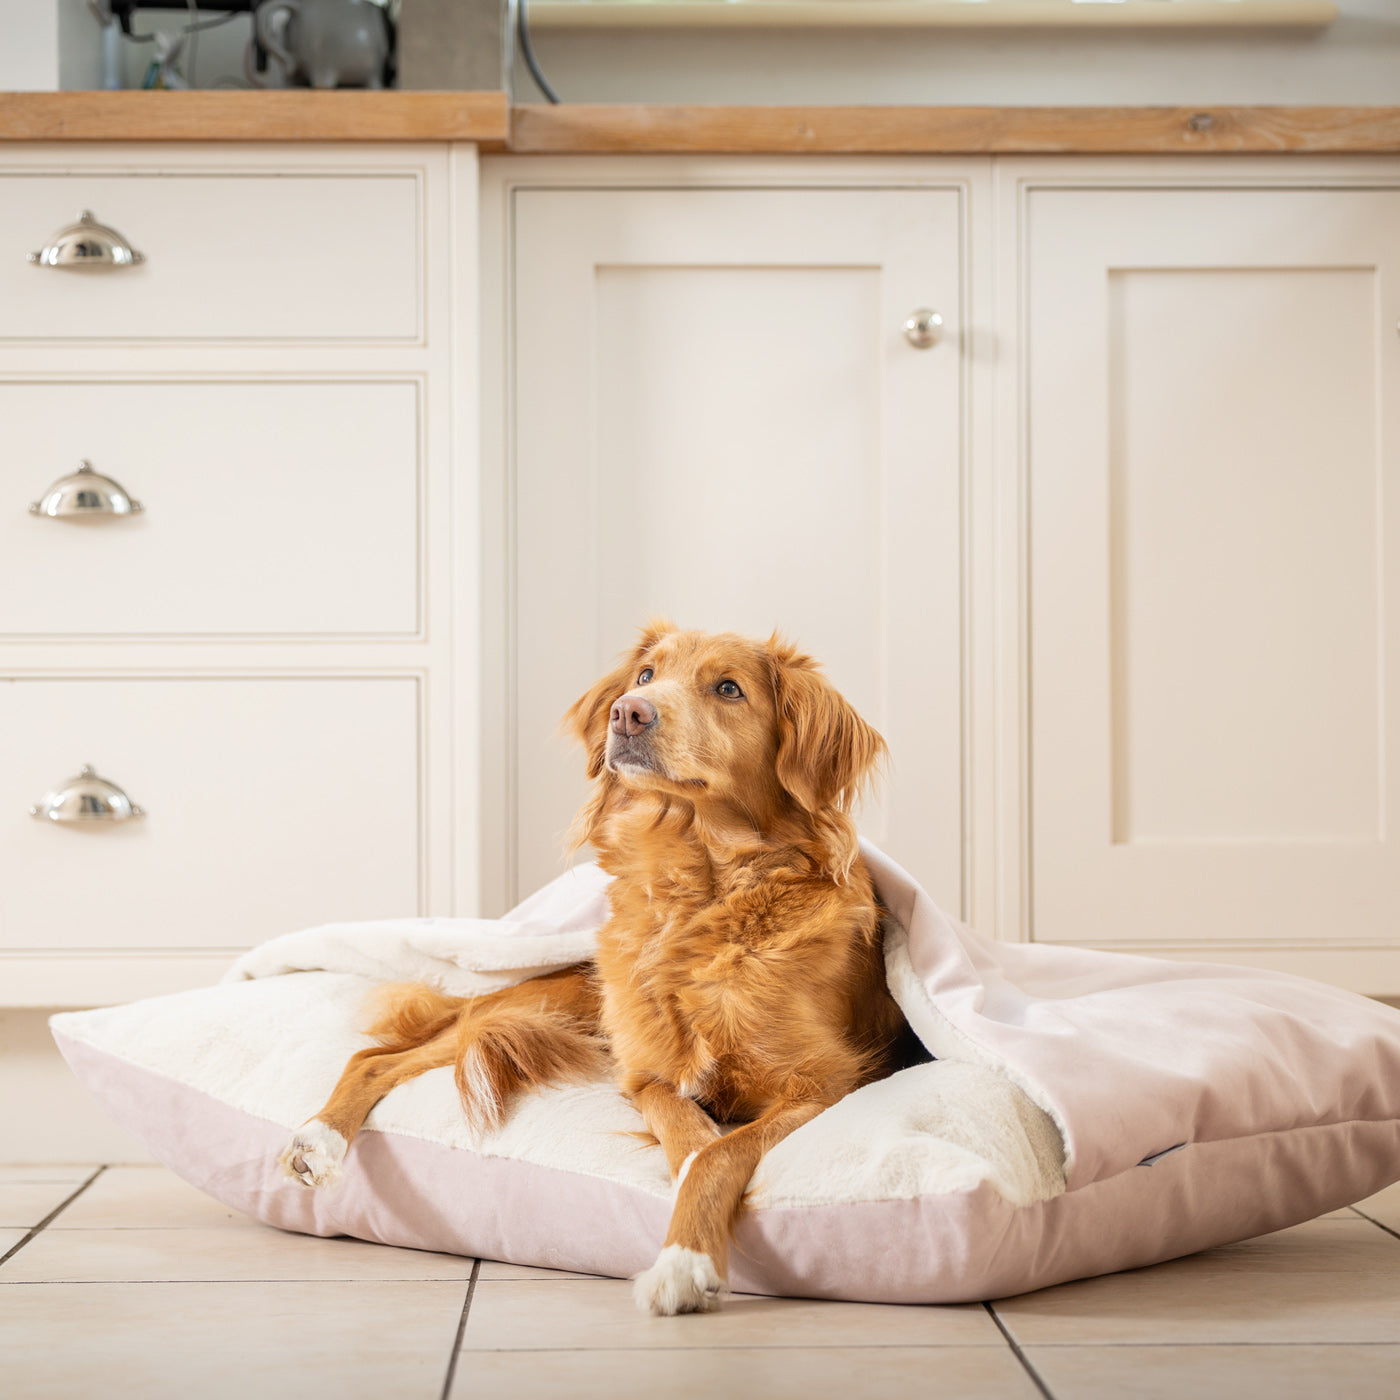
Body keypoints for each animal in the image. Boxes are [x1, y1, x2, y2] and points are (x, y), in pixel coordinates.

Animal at [277, 624, 907, 1310]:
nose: (627, 713)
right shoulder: (648, 1075)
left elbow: (713, 1156)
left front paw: (683, 1260)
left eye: (728, 688)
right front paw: (687, 1240)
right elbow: (693, 1145)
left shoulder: (827, 1082)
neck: (701, 890)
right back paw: (317, 1138)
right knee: (375, 1057)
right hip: (543, 1004)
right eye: (646, 676)